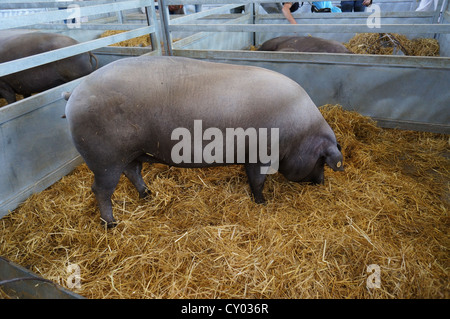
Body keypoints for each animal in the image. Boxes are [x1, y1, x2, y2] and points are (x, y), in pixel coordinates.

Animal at [65, 55, 342, 228]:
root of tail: (75, 93)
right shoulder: (260, 154)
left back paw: (148, 195)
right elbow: (258, 182)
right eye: (322, 161)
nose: (321, 182)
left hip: (130, 153)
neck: (301, 133)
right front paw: (262, 203)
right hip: (104, 159)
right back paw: (111, 224)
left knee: (133, 172)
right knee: (100, 190)